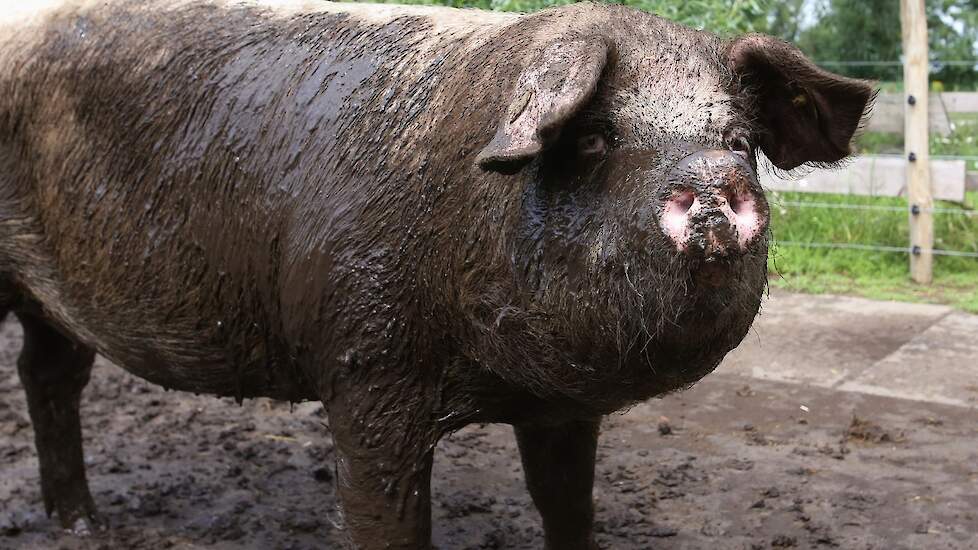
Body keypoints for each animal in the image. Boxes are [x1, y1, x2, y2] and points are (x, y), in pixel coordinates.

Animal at [0, 0, 868, 548]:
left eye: (740, 138)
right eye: (595, 138)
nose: (715, 176)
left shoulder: (561, 406)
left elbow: (567, 504)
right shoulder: (362, 367)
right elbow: (385, 517)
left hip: (53, 302)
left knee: (49, 374)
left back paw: (84, 526)